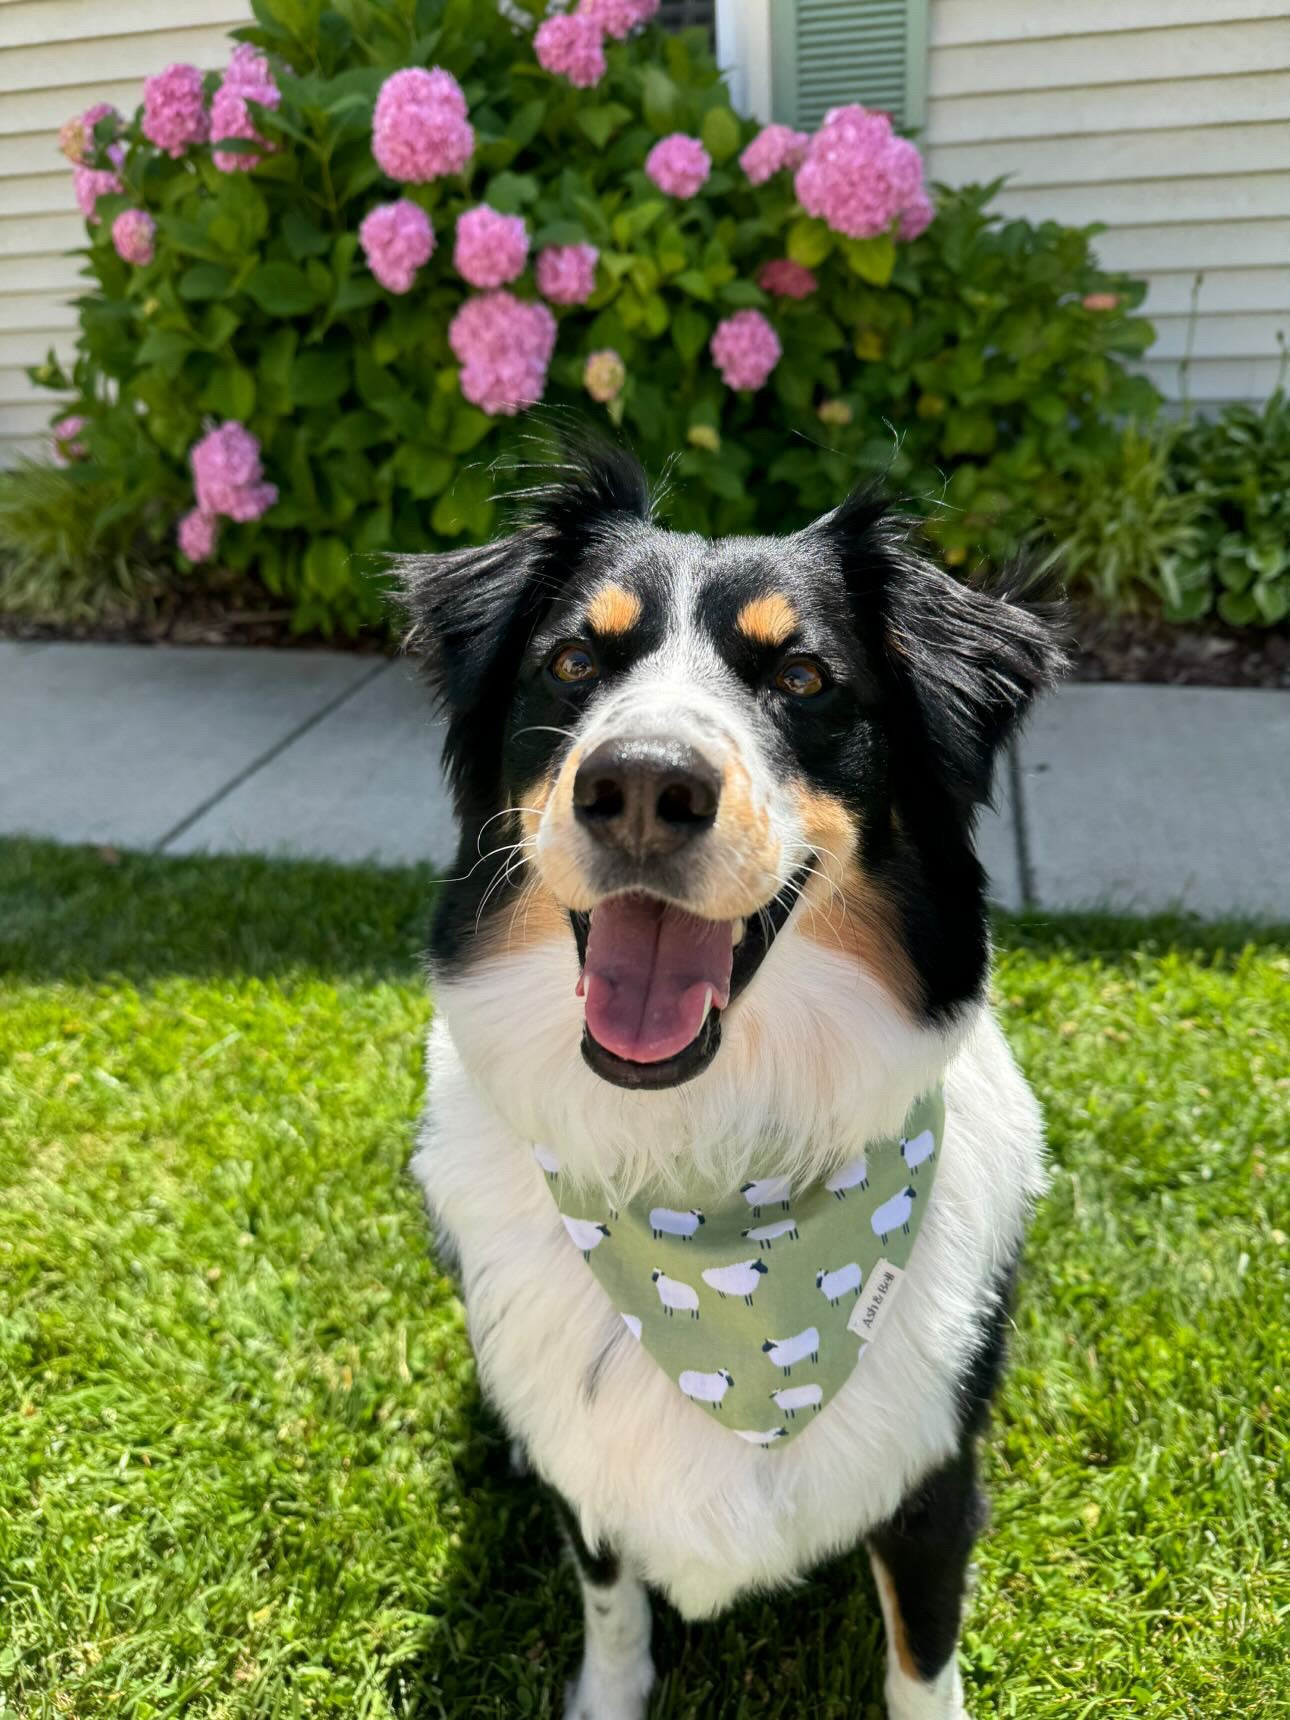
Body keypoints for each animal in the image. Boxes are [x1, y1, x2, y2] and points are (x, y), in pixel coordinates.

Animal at [399, 447, 1066, 1720]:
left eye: (803, 675)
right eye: (574, 660)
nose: (641, 784)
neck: (709, 1167)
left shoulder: (932, 1477)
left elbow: (923, 1656)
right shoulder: (594, 1470)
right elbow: (611, 1603)